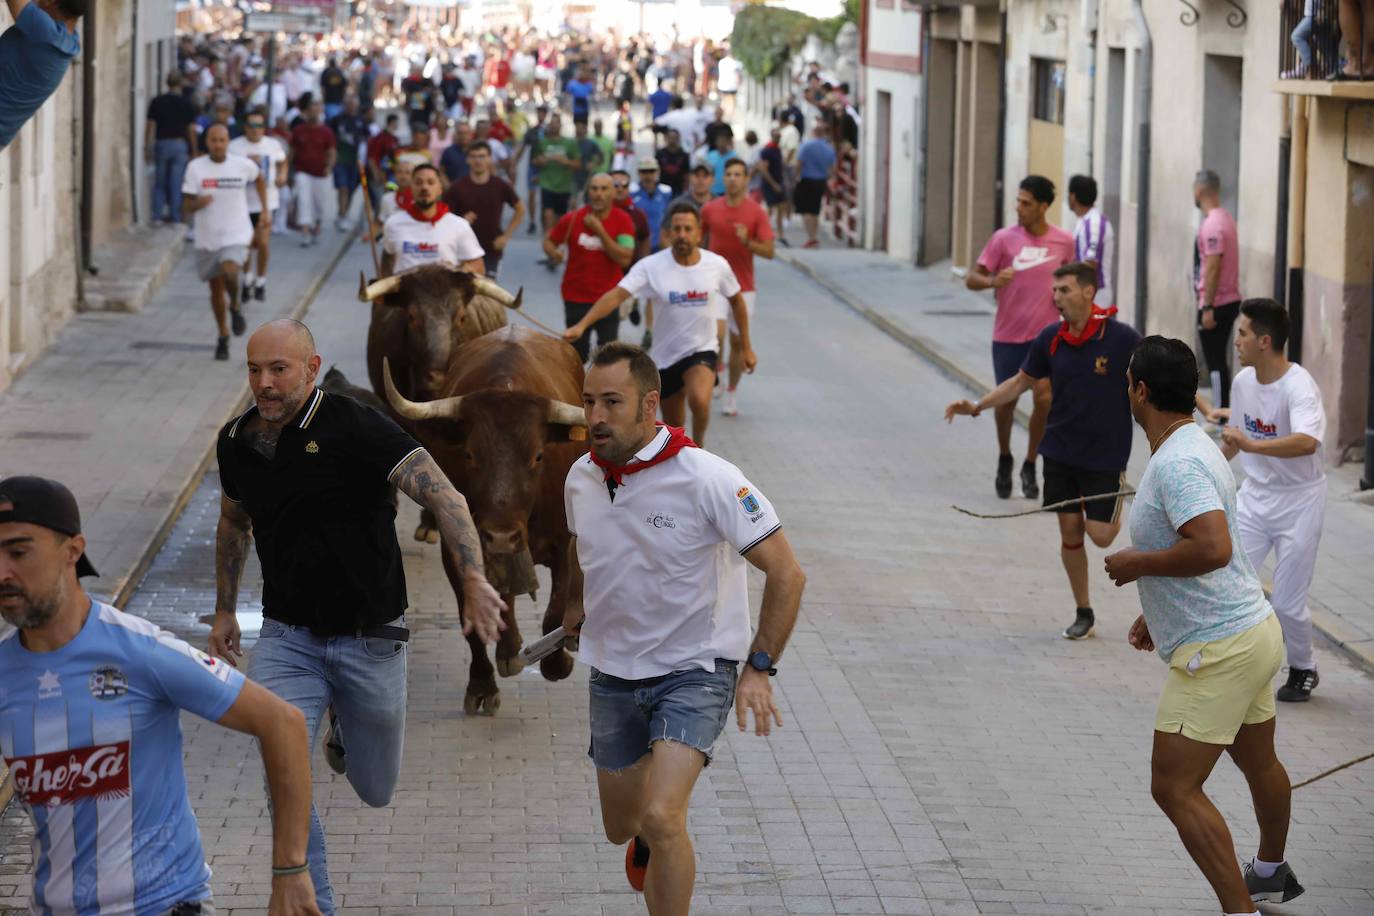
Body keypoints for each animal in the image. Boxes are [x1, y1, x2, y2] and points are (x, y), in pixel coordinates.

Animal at [384, 324, 588, 714]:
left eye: (538, 456)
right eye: (469, 454)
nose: (500, 536)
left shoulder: (564, 540)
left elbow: (555, 611)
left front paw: (557, 662)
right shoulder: (459, 546)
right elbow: (473, 614)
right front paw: (482, 683)